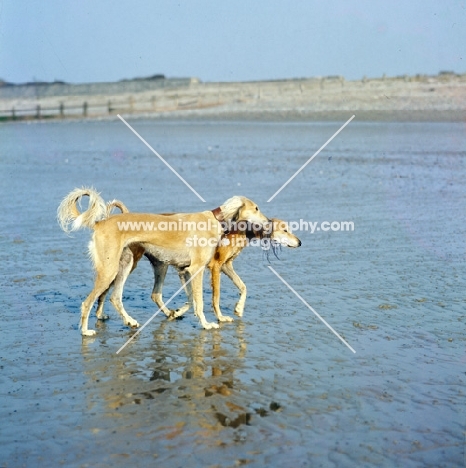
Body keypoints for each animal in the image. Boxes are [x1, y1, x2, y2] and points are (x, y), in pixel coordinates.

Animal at [57, 186, 268, 336]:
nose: (268, 222)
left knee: (115, 296)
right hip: (111, 269)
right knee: (88, 301)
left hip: (127, 265)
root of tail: (99, 222)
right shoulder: (197, 269)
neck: (215, 220)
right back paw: (86, 330)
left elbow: (191, 299)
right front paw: (207, 324)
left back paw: (129, 321)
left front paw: (180, 313)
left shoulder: (184, 270)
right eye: (256, 208)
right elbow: (200, 301)